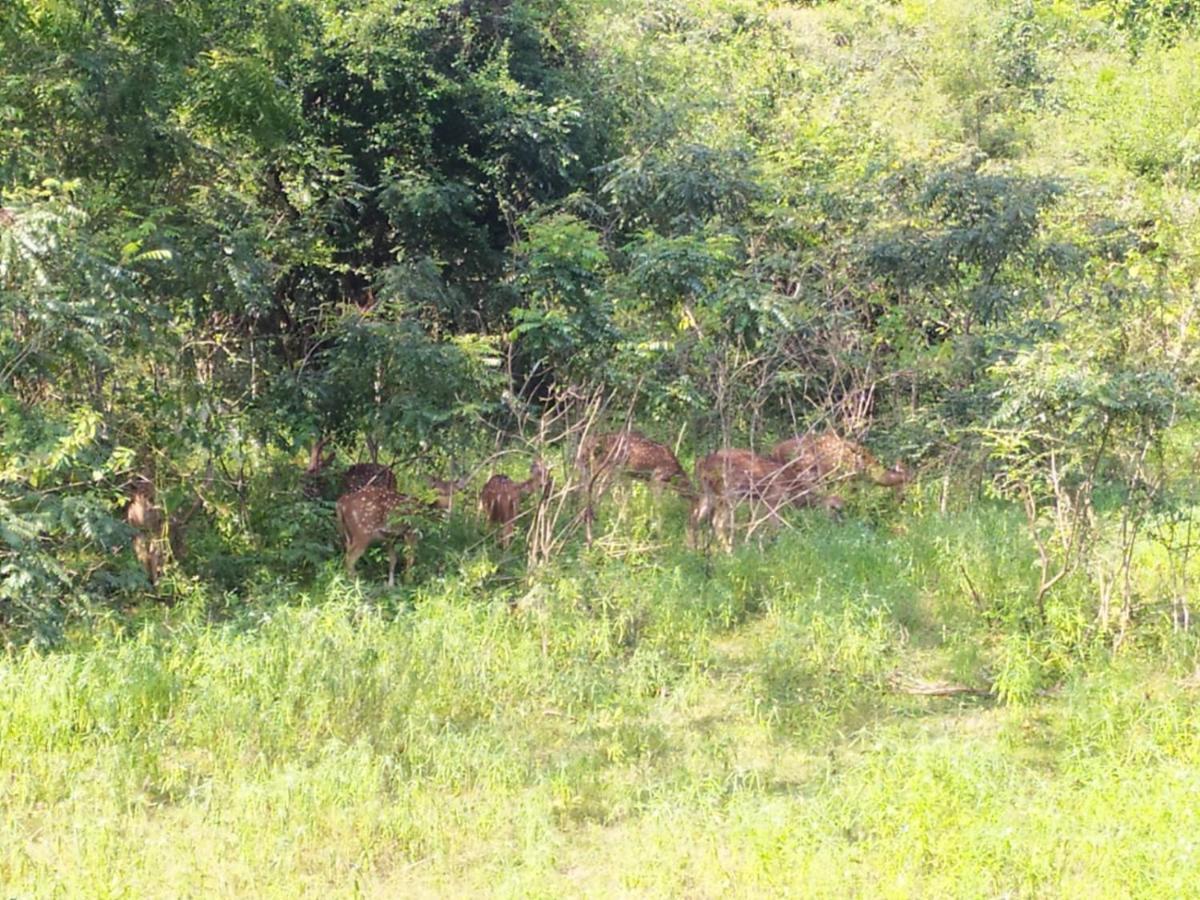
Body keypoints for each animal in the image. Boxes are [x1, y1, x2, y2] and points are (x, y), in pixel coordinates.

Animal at [686, 448, 844, 549]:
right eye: (834, 508)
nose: (840, 525)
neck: (790, 486)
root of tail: (701, 464)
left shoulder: (761, 502)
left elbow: (755, 523)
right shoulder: (772, 499)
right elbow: (775, 526)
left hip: (707, 492)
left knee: (694, 516)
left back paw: (690, 549)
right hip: (727, 493)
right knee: (717, 522)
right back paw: (729, 552)